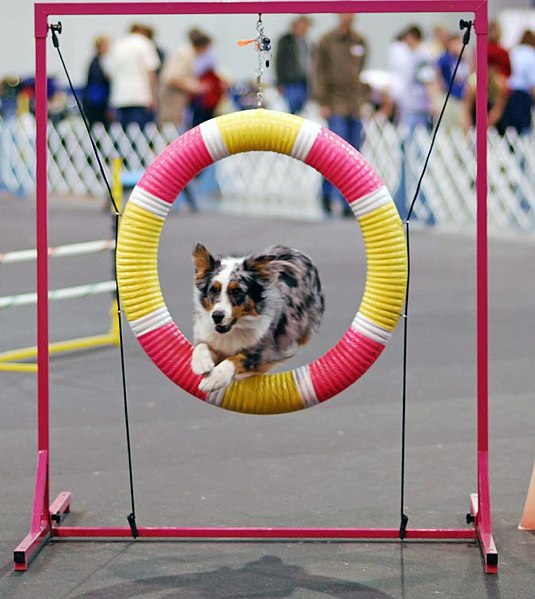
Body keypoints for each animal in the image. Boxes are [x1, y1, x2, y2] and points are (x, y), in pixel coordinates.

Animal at [193, 244, 326, 394]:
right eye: (213, 290)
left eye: (237, 291)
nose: (216, 316)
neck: (235, 328)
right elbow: (201, 345)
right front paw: (201, 363)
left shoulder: (266, 352)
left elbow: (238, 358)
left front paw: (214, 378)